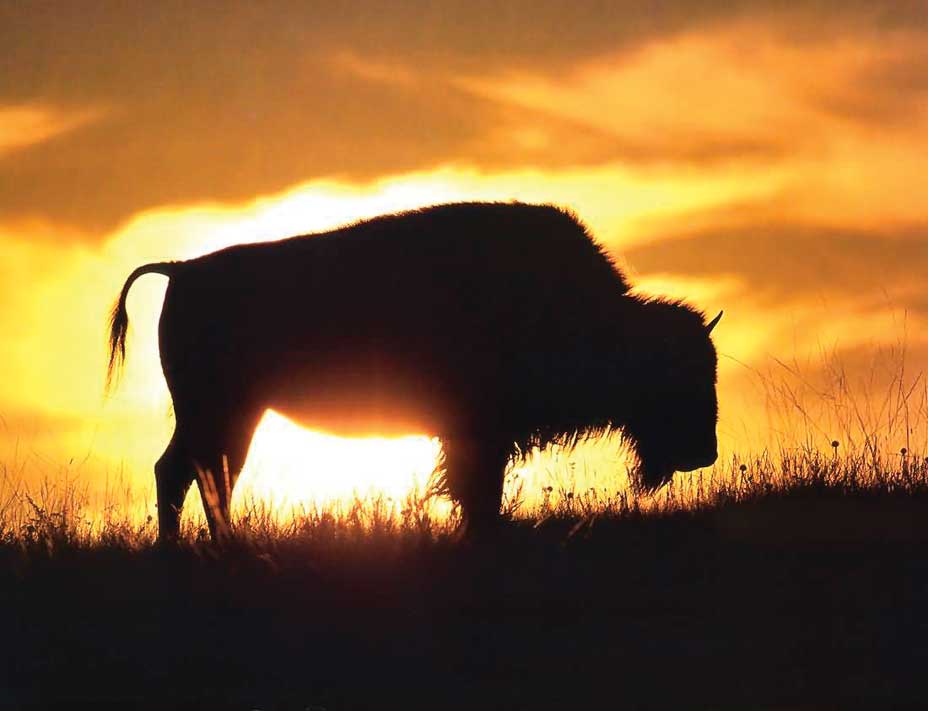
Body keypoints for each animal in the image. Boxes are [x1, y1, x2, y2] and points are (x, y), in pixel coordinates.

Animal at [105, 203, 720, 544]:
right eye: (674, 373)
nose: (705, 452)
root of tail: (183, 270)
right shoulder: (480, 434)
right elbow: (477, 490)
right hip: (220, 413)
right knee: (191, 474)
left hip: (226, 416)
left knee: (193, 473)